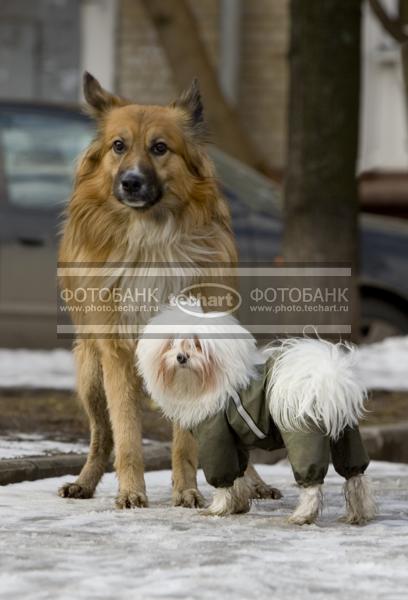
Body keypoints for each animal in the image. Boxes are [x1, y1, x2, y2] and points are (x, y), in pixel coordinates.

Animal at [59, 72, 278, 508]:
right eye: (119, 145)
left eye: (160, 148)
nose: (131, 182)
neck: (150, 240)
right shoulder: (115, 350)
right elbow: (126, 434)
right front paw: (131, 491)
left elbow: (186, 441)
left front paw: (187, 489)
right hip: (90, 374)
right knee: (101, 436)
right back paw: (85, 481)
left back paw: (252, 482)